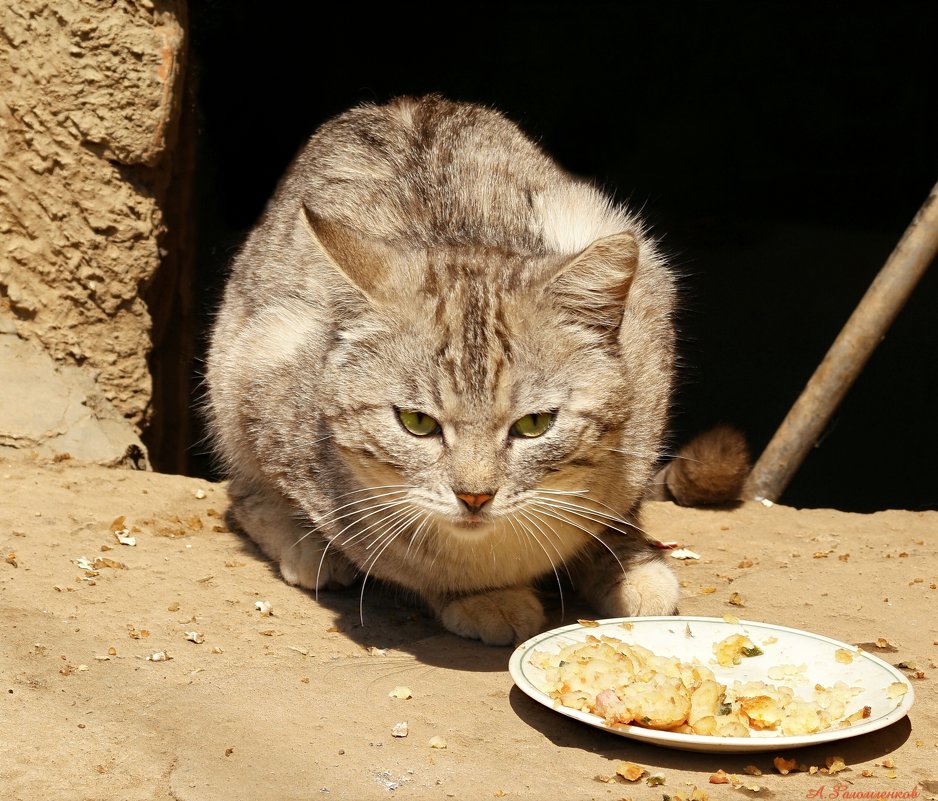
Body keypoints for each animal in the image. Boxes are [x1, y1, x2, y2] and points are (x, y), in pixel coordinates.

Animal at [207, 94, 744, 644]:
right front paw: (482, 595)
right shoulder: (269, 370)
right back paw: (307, 547)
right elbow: (408, 561)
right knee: (241, 494)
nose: (474, 497)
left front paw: (625, 564)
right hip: (232, 367)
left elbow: (616, 513)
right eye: (416, 423)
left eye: (535, 424)